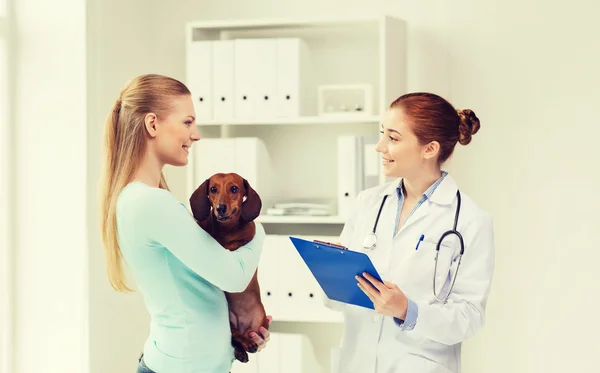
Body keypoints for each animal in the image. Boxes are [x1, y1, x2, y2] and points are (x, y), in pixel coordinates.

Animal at [190, 173, 270, 362]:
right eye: (213, 189)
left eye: (234, 189)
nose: (220, 208)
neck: (226, 229)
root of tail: (242, 325)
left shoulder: (246, 236)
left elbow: (235, 243)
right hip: (230, 323)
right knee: (234, 336)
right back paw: (242, 349)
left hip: (260, 323)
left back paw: (247, 345)